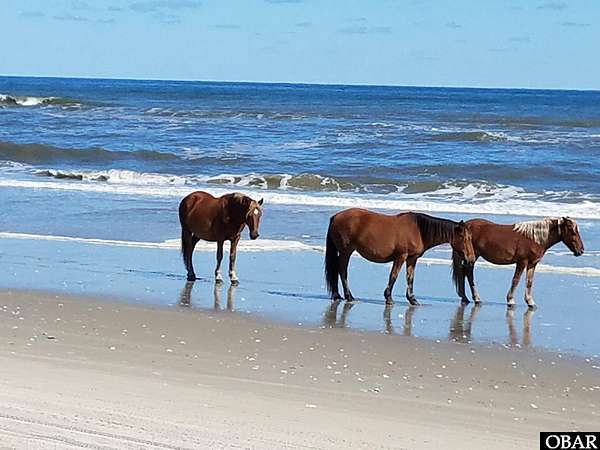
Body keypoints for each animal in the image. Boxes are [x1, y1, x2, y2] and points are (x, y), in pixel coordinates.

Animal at [324, 209, 476, 305]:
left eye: (470, 238)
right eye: (464, 238)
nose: (471, 258)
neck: (419, 230)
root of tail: (336, 216)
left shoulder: (412, 258)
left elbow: (410, 278)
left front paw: (412, 299)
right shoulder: (401, 256)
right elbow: (394, 276)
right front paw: (388, 297)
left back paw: (339, 295)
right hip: (346, 251)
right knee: (342, 271)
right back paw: (348, 296)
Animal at [452, 217, 584, 308]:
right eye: (572, 232)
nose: (581, 250)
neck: (534, 238)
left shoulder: (532, 264)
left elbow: (529, 282)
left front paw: (530, 302)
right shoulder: (522, 262)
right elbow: (516, 280)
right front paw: (510, 300)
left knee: (464, 273)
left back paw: (465, 297)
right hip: (472, 256)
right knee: (468, 274)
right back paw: (475, 298)